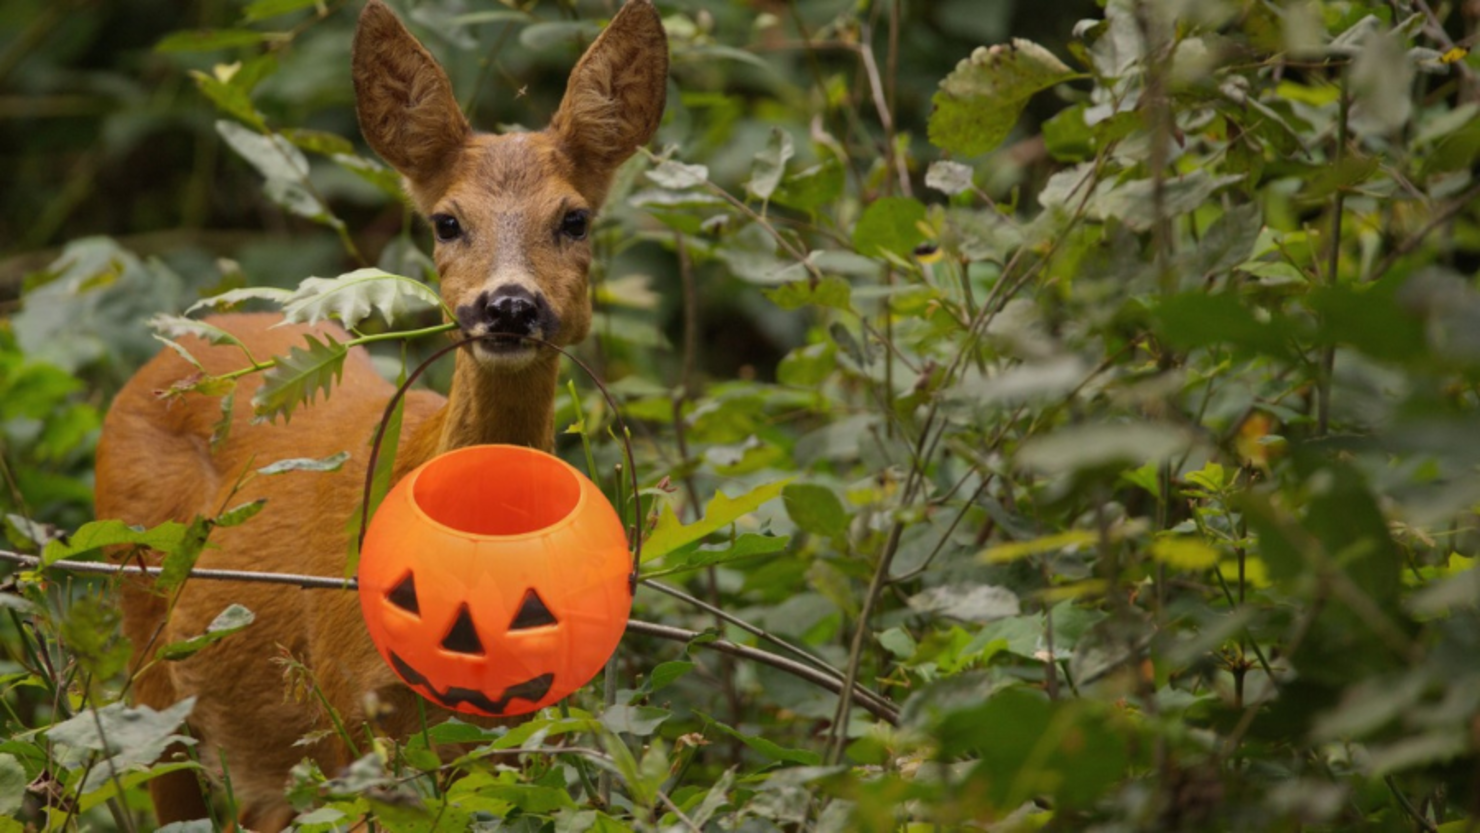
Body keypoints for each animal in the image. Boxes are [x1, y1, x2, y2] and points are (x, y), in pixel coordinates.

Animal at [93, 1, 671, 828]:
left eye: (576, 218)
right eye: (447, 221)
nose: (509, 305)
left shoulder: (526, 731)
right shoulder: (350, 712)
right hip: (144, 630)